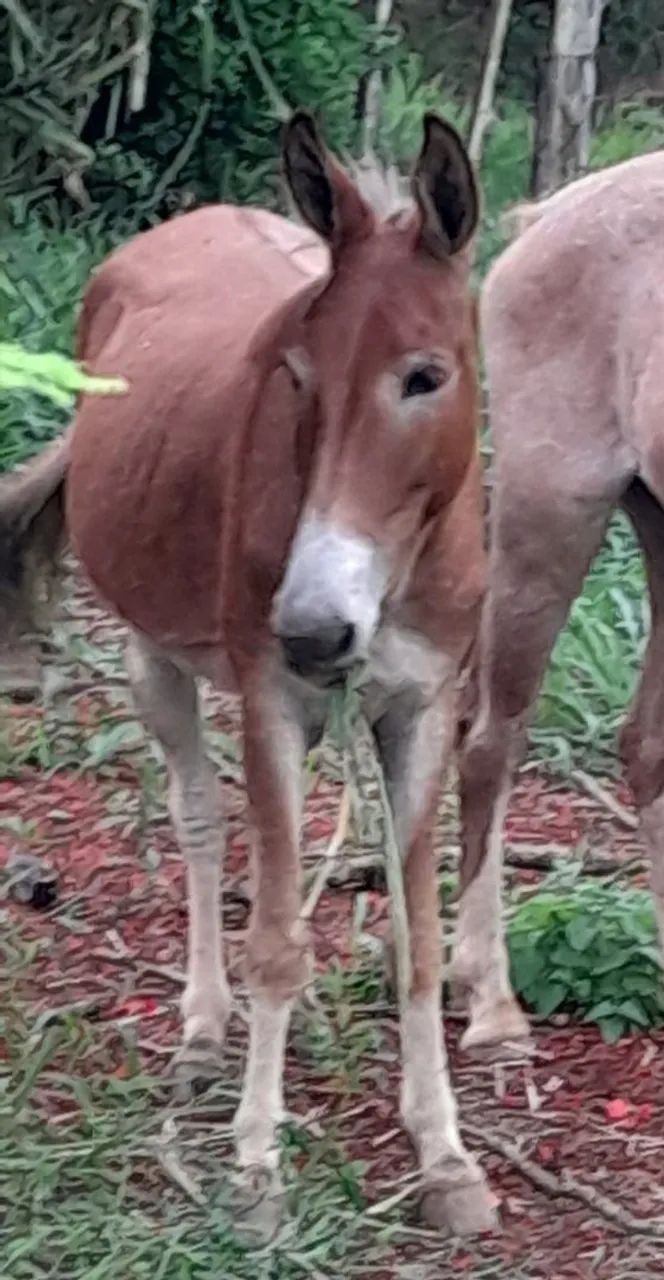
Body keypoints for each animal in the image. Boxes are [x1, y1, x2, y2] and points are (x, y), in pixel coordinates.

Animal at [0, 112, 495, 1236]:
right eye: (296, 373)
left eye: (425, 375)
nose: (313, 625)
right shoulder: (272, 694)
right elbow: (268, 930)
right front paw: (258, 1161)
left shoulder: (423, 707)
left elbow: (417, 940)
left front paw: (444, 1154)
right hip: (156, 656)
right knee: (202, 823)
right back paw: (203, 1028)